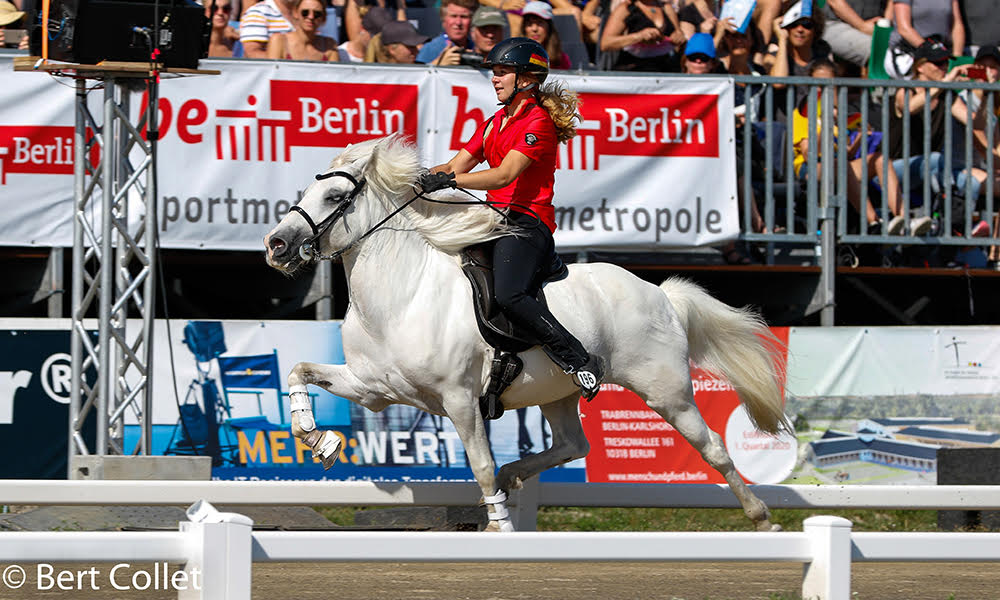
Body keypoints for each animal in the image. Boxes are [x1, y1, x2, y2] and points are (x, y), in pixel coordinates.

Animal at [264, 135, 788, 528]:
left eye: (335, 198)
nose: (276, 246)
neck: (401, 295)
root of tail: (660, 294)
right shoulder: (373, 389)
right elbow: (298, 371)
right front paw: (320, 440)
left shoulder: (459, 400)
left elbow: (479, 465)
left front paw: (501, 528)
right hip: (558, 393)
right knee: (574, 444)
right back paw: (516, 473)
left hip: (667, 391)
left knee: (713, 448)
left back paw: (762, 517)